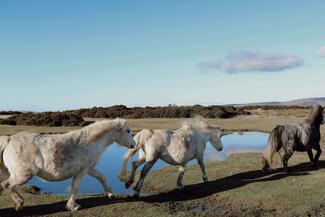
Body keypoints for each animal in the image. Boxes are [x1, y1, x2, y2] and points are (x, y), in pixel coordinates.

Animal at [0, 118, 135, 211]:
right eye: (128, 131)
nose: (133, 145)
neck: (88, 143)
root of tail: (9, 140)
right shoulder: (82, 171)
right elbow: (75, 187)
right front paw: (73, 206)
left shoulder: (89, 168)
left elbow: (101, 178)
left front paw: (111, 194)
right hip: (23, 175)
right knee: (7, 185)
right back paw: (19, 204)